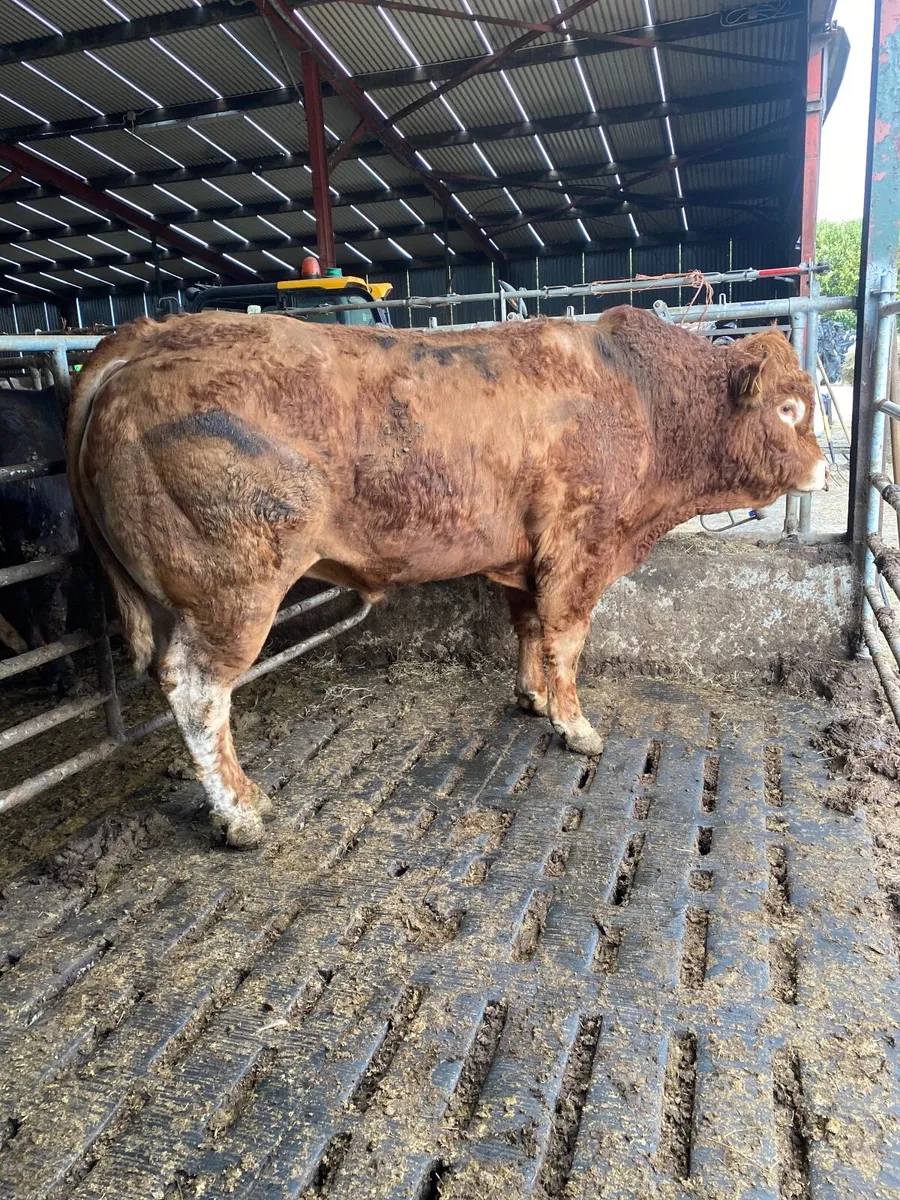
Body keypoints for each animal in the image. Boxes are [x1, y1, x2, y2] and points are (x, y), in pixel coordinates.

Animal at [67, 307, 826, 848]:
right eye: (789, 409)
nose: (823, 469)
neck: (642, 399)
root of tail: (147, 337)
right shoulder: (579, 548)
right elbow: (567, 639)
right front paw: (576, 726)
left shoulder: (526, 558)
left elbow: (527, 628)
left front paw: (532, 698)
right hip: (232, 591)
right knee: (197, 691)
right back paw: (240, 812)